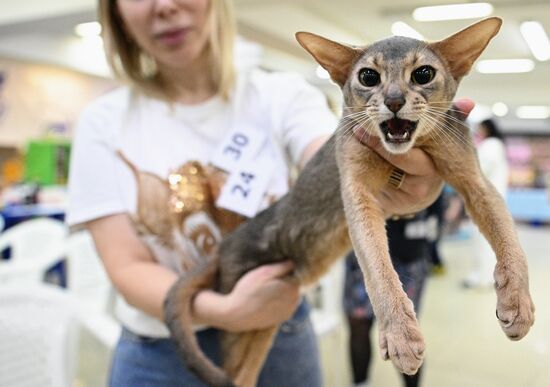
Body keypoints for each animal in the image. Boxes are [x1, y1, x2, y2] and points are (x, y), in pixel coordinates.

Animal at [163, 18, 536, 387]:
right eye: (368, 77)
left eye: (423, 74)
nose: (394, 100)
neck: (411, 148)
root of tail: (222, 248)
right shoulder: (357, 195)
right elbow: (378, 269)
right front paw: (400, 335)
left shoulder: (476, 182)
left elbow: (512, 242)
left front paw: (518, 302)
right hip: (243, 321)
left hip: (261, 323)